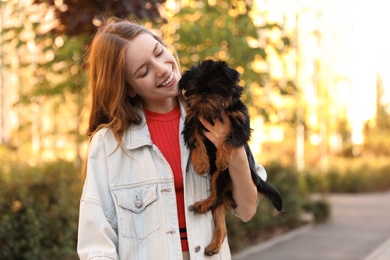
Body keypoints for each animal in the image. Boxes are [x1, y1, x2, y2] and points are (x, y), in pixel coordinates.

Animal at [178, 59, 282, 256]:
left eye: (215, 87)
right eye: (194, 88)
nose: (204, 93)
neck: (213, 113)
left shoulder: (241, 126)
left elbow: (227, 140)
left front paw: (222, 158)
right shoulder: (192, 121)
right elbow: (196, 141)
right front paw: (201, 162)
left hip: (221, 175)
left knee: (217, 196)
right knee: (219, 214)